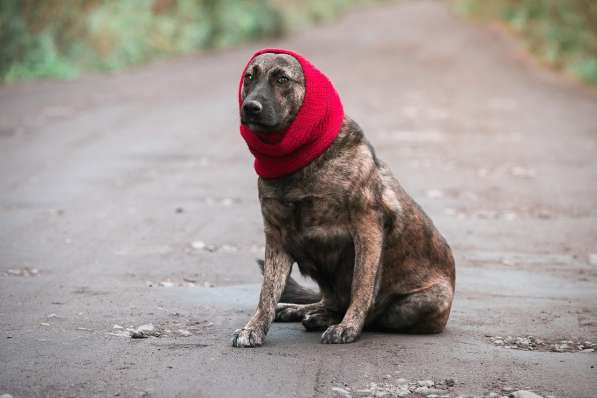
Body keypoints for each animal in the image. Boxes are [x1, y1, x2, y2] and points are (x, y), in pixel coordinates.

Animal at [230, 48, 454, 346]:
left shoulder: (367, 228)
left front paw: (348, 326)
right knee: (328, 300)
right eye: (249, 78)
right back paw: (300, 310)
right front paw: (253, 327)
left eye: (282, 79)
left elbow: (362, 285)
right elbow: (267, 293)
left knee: (373, 314)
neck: (301, 160)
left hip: (421, 302)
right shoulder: (276, 237)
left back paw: (327, 318)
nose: (250, 107)